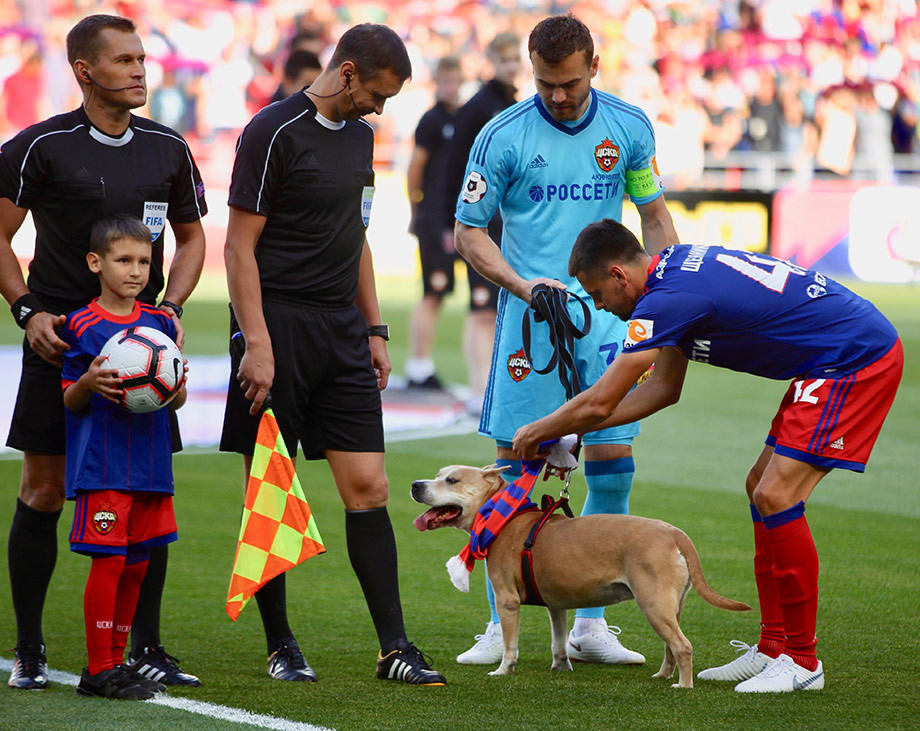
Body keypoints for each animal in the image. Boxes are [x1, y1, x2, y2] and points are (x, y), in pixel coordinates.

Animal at [410, 466, 748, 688]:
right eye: (439, 475)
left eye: (451, 480)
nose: (415, 484)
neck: (503, 517)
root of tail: (674, 532)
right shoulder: (556, 605)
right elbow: (558, 641)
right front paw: (561, 666)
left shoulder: (507, 602)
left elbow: (510, 644)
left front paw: (504, 670)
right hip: (671, 606)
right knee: (671, 646)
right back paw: (665, 676)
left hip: (654, 604)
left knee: (683, 646)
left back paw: (684, 686)